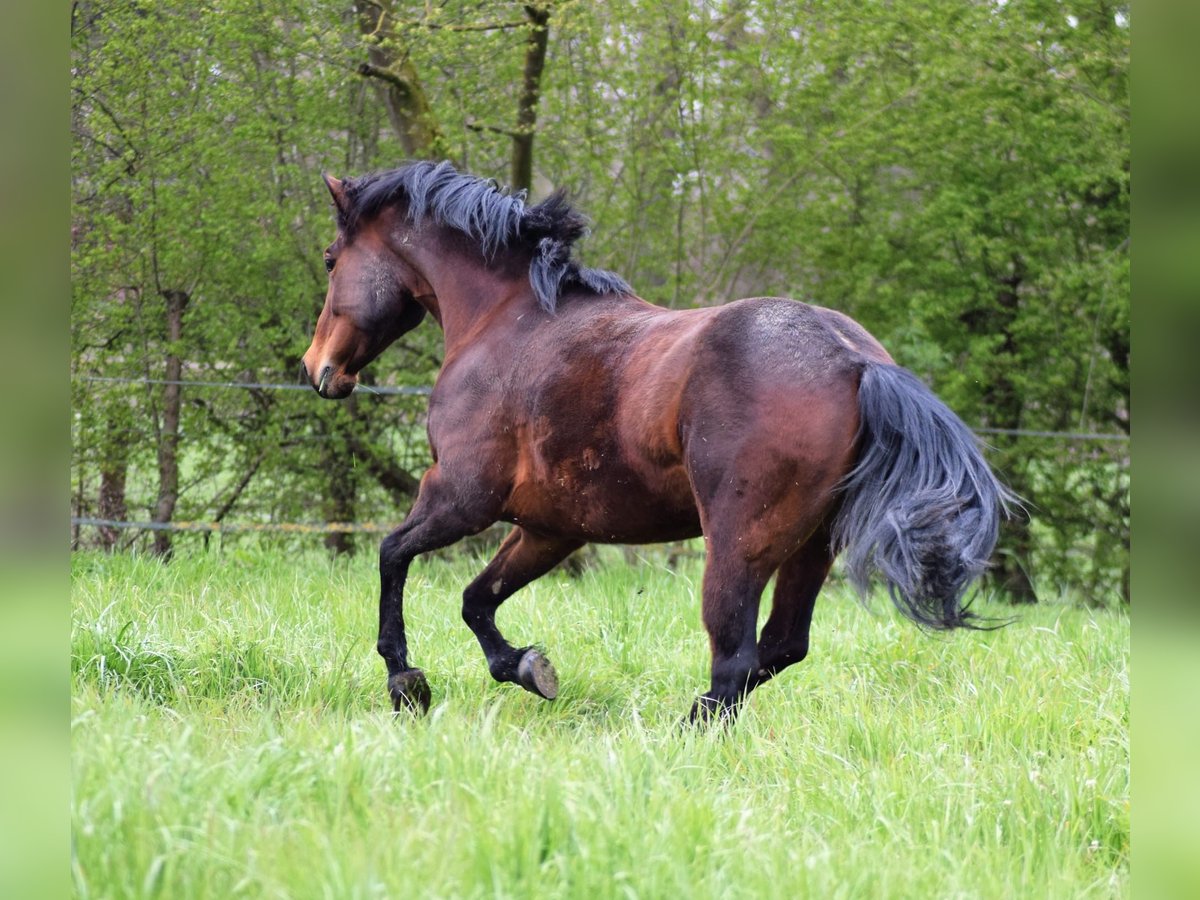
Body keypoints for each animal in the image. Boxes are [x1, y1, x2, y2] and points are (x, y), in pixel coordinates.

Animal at [300, 162, 1012, 724]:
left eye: (331, 260)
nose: (318, 369)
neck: (507, 321)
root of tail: (854, 359)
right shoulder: (550, 528)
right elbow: (478, 600)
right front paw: (527, 667)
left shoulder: (460, 496)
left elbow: (392, 555)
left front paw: (406, 682)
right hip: (809, 547)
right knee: (780, 647)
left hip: (738, 545)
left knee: (735, 658)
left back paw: (682, 736)